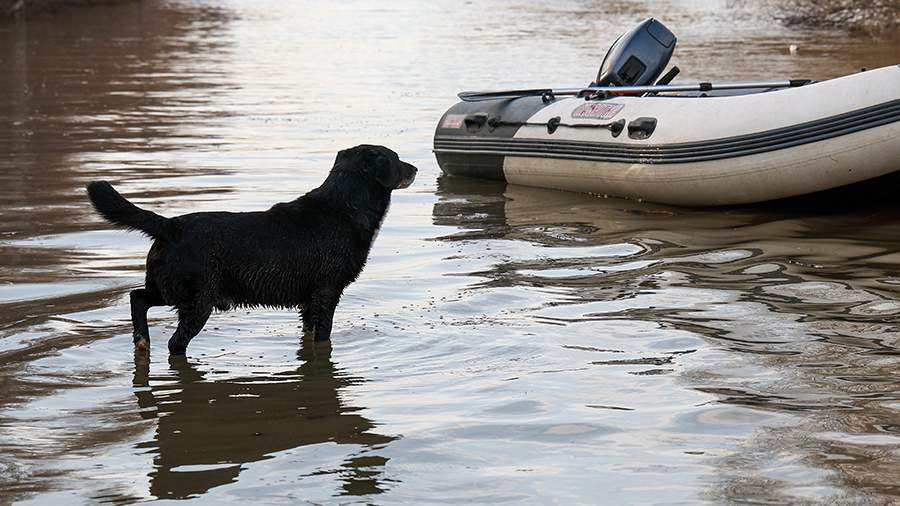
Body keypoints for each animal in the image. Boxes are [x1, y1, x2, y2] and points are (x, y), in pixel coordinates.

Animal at [88, 144, 418, 354]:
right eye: (396, 158)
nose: (415, 167)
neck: (344, 207)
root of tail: (171, 225)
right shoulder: (327, 292)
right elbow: (323, 337)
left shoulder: (309, 301)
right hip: (198, 300)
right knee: (174, 342)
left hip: (169, 287)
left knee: (137, 297)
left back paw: (142, 342)